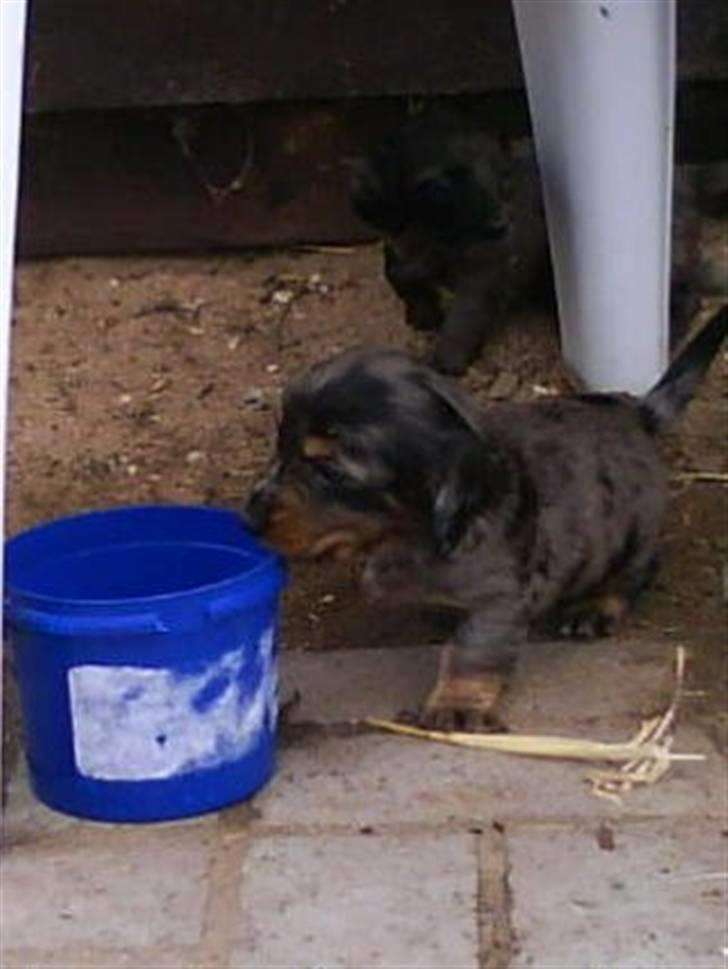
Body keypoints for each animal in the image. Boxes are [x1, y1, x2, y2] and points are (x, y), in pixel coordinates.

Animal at [246, 308, 728, 728]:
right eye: (280, 446)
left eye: (328, 470)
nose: (250, 515)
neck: (412, 535)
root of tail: (637, 413)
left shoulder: (498, 598)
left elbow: (472, 653)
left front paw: (455, 706)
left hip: (630, 535)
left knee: (640, 568)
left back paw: (596, 607)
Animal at [352, 108, 552, 374]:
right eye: (440, 186)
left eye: (502, 176)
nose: (501, 224)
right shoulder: (398, 248)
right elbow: (396, 274)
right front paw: (422, 314)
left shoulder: (484, 271)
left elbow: (464, 318)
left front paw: (444, 363)